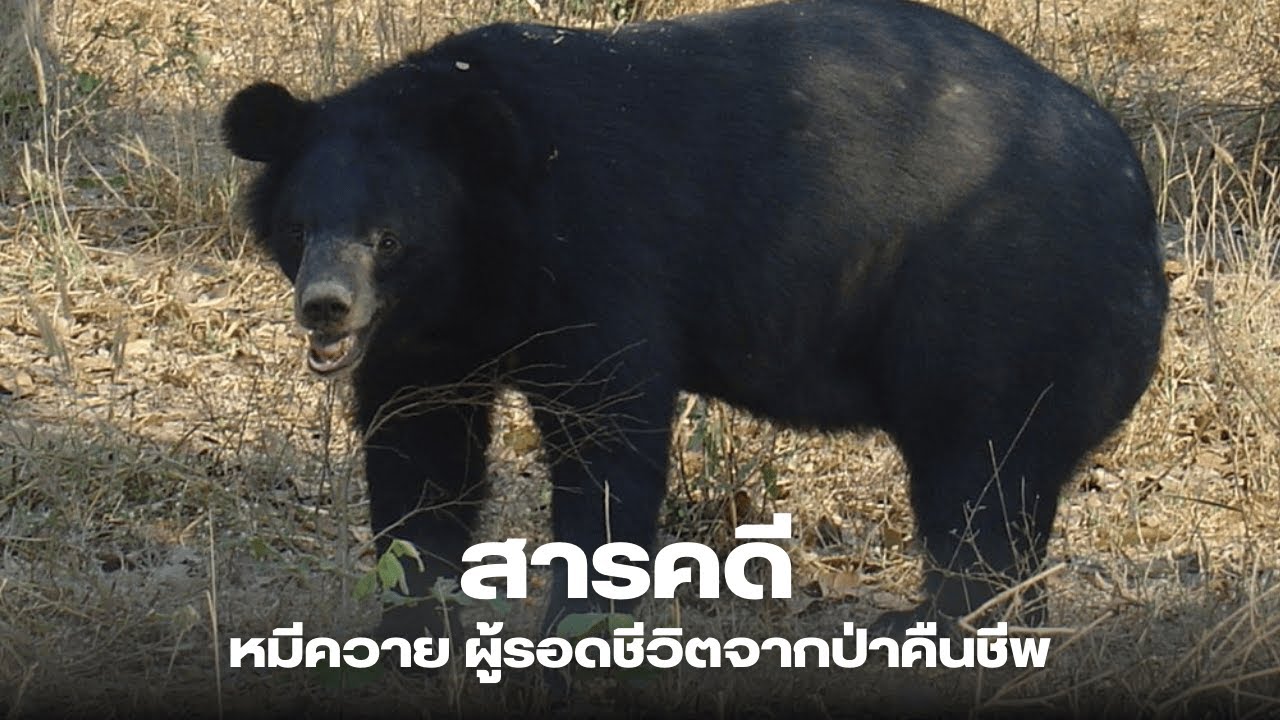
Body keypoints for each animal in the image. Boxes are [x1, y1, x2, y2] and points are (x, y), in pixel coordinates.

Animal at [221, 0, 1168, 647]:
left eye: (389, 237)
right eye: (300, 228)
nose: (326, 308)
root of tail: (1136, 200)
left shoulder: (598, 260)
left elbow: (609, 433)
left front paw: (577, 626)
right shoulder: (432, 336)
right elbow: (421, 450)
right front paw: (414, 617)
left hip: (997, 305)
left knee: (978, 482)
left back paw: (940, 625)